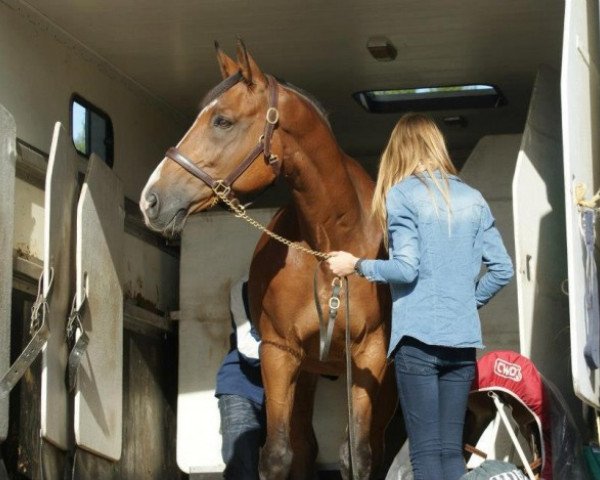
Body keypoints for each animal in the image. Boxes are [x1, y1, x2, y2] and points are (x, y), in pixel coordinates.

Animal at [138, 40, 396, 476]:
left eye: (222, 121)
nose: (151, 199)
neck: (331, 244)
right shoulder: (280, 353)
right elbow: (278, 454)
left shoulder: (370, 355)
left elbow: (359, 455)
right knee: (305, 445)